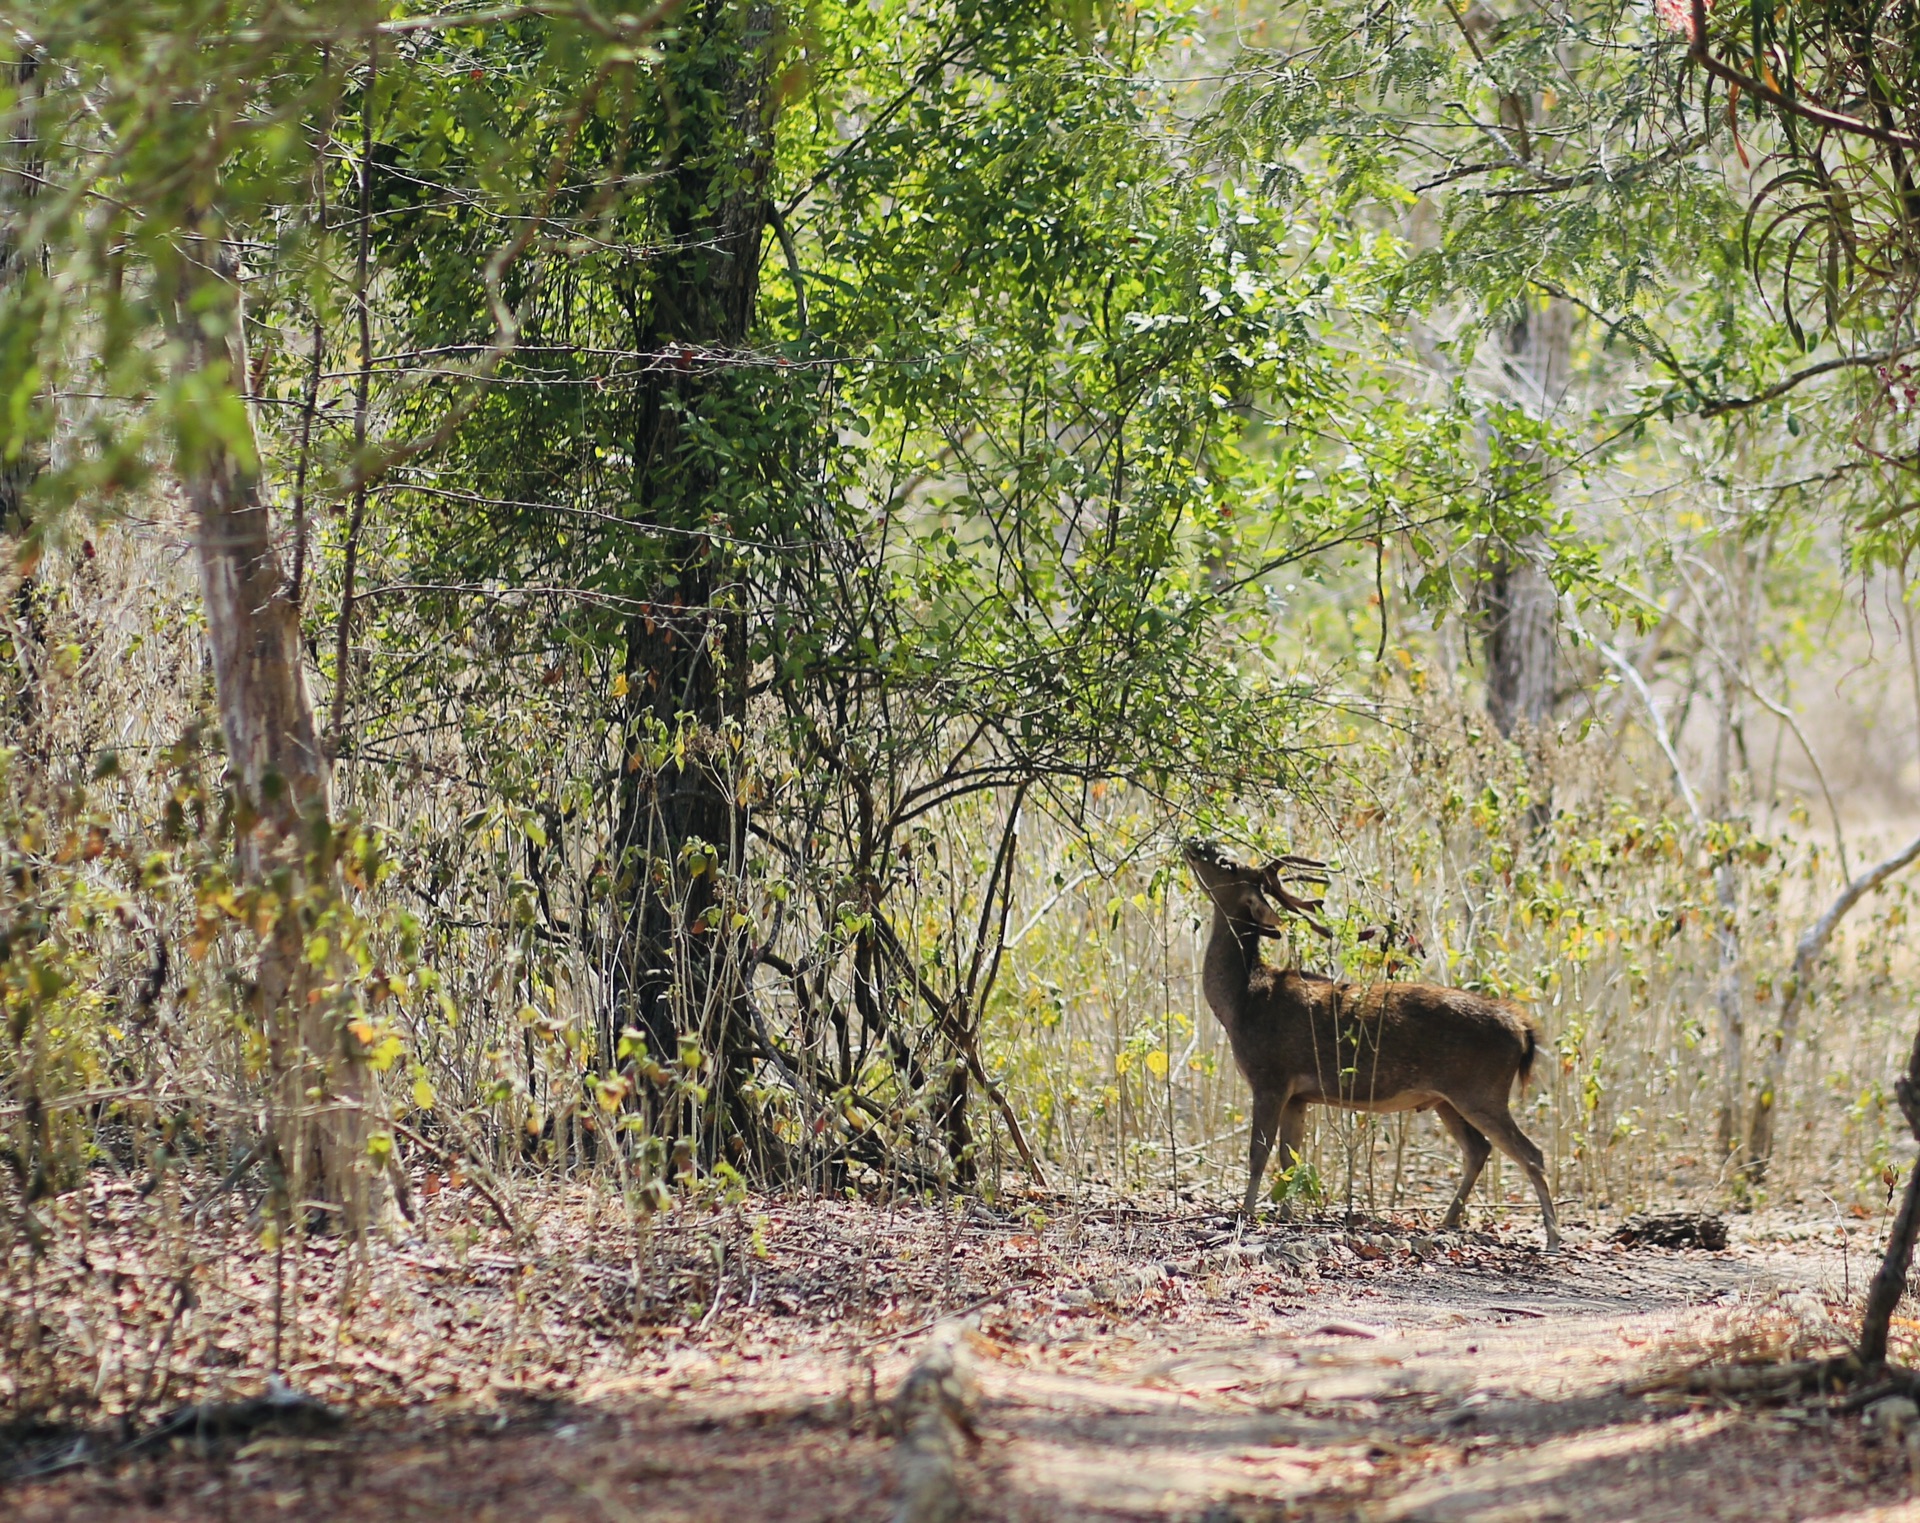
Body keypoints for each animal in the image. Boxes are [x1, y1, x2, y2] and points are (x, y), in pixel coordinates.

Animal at [1175, 833, 1566, 1244]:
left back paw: (1553, 1238)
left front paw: (1245, 1214)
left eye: (1228, 865)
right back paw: (1448, 1221)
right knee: (1479, 1148)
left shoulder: (1270, 1075)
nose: (1194, 839)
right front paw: (1284, 1214)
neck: (1242, 1003)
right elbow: (1289, 1156)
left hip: (1482, 1090)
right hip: (1447, 1097)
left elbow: (1258, 1153)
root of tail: (1521, 1028)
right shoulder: (1299, 1094)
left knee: (1531, 1153)